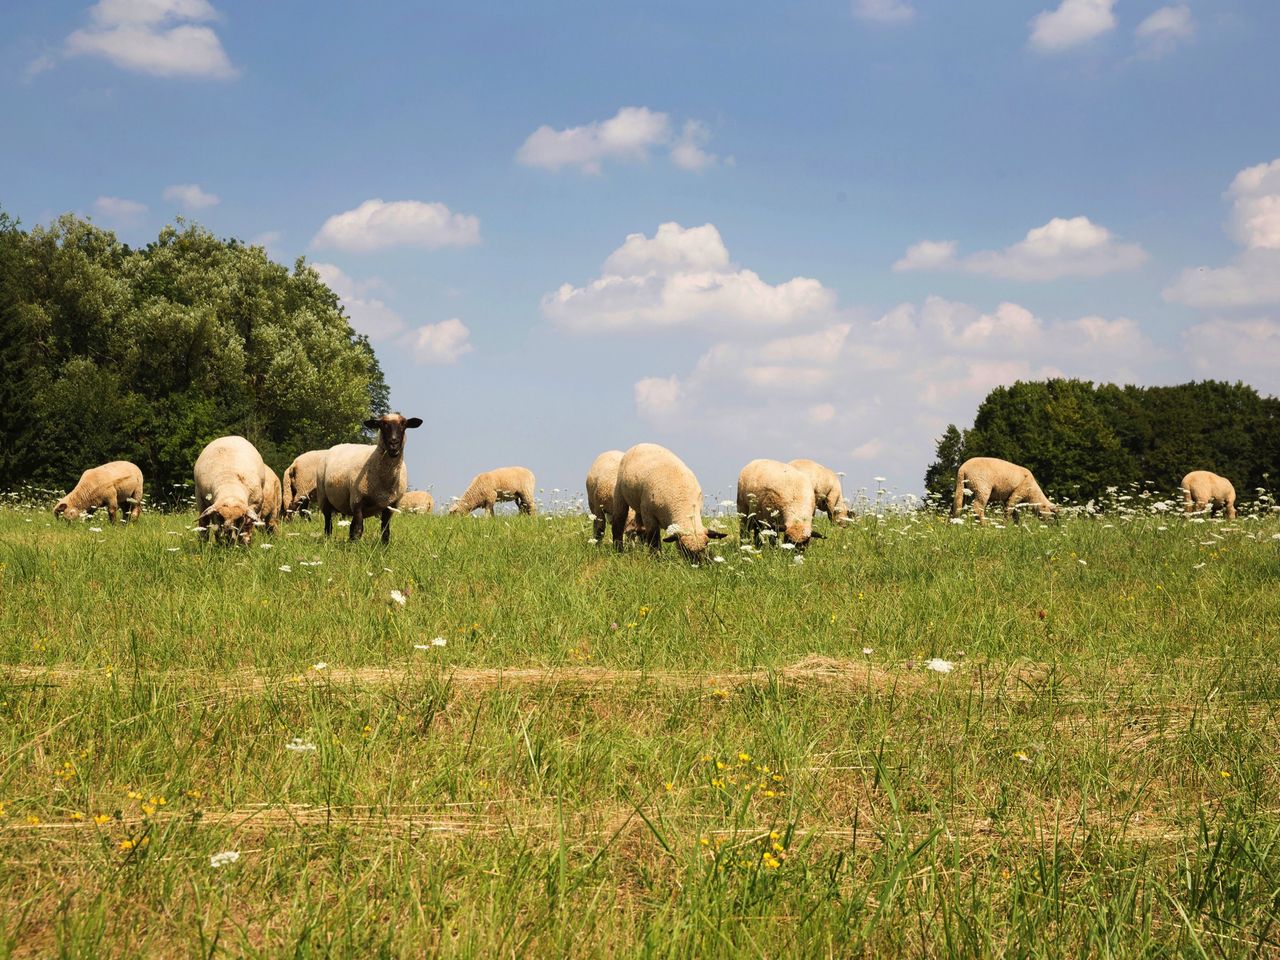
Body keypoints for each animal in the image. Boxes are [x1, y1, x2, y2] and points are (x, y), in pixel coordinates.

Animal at [316, 414, 424, 545]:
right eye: (382, 425)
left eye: (404, 424)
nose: (393, 444)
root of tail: (335, 446)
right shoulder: (357, 500)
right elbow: (358, 530)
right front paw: (356, 548)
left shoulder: (390, 505)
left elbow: (385, 531)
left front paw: (384, 547)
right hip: (324, 497)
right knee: (329, 524)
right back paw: (328, 540)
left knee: (350, 527)